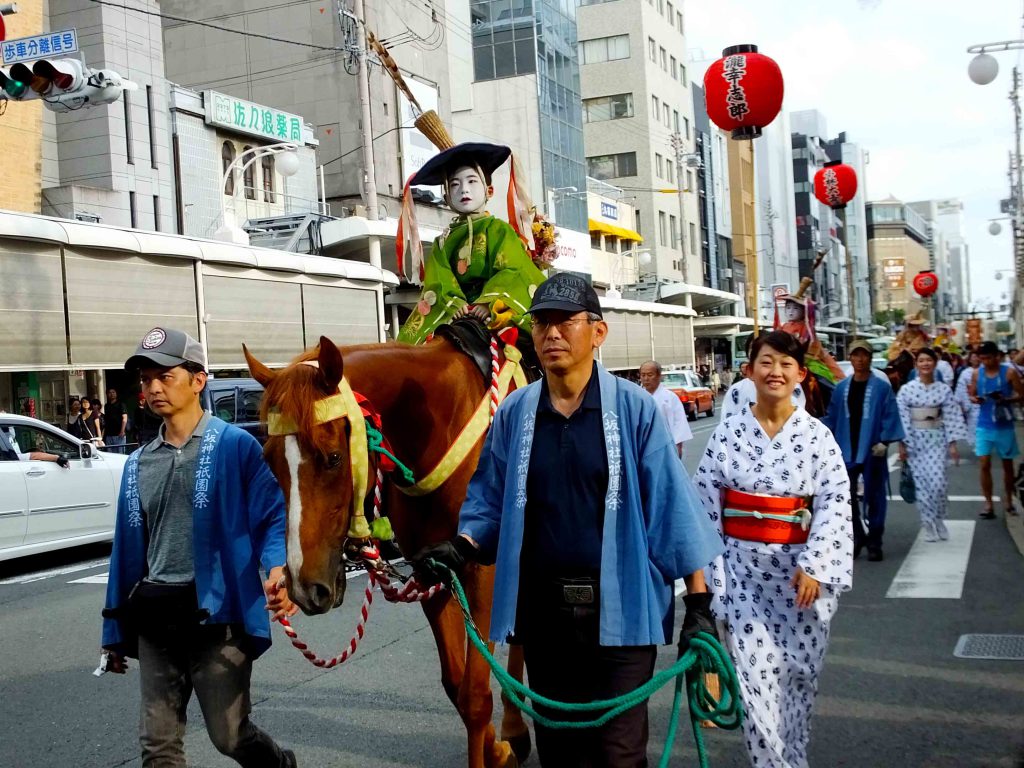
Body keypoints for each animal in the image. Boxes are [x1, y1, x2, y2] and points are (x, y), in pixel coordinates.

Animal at [242, 335, 524, 768]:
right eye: (269, 461)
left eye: (333, 458)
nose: (305, 587)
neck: (436, 426)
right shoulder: (431, 568)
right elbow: (456, 685)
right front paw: (497, 748)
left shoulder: (482, 571)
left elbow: (476, 697)